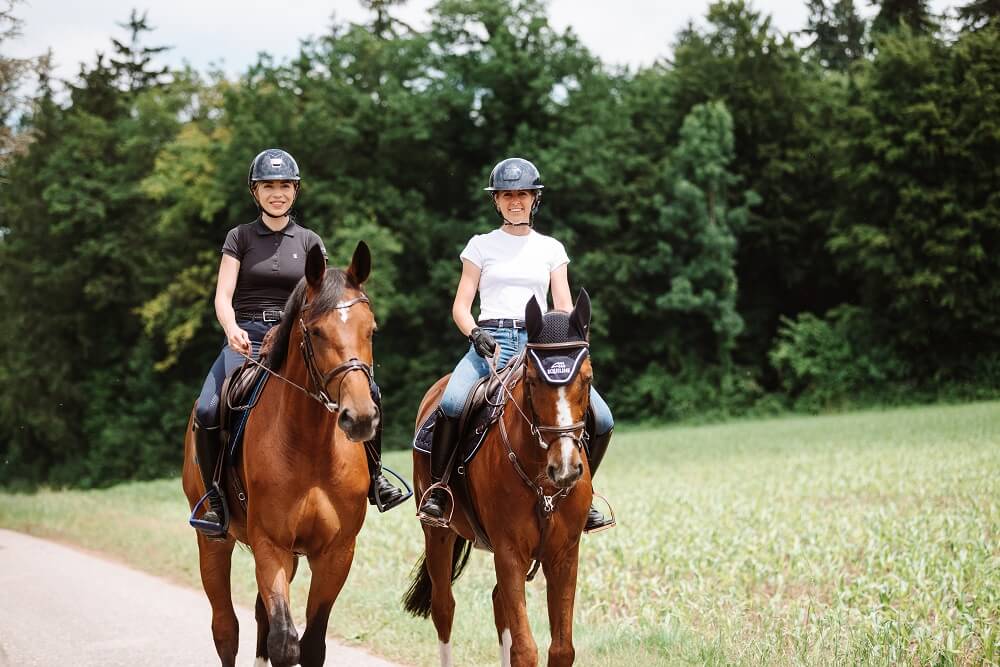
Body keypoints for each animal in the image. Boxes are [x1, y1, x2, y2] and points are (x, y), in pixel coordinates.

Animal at [182, 243, 380, 664]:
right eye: (317, 332)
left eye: (371, 330)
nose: (359, 418)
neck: (312, 448)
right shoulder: (270, 544)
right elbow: (285, 642)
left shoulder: (336, 552)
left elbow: (312, 643)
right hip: (213, 542)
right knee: (226, 628)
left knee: (260, 616)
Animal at [404, 292, 592, 667]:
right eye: (532, 380)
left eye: (588, 378)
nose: (564, 467)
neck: (543, 485)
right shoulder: (508, 552)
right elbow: (524, 649)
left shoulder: (565, 554)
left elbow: (561, 648)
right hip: (437, 534)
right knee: (444, 607)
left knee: (497, 604)